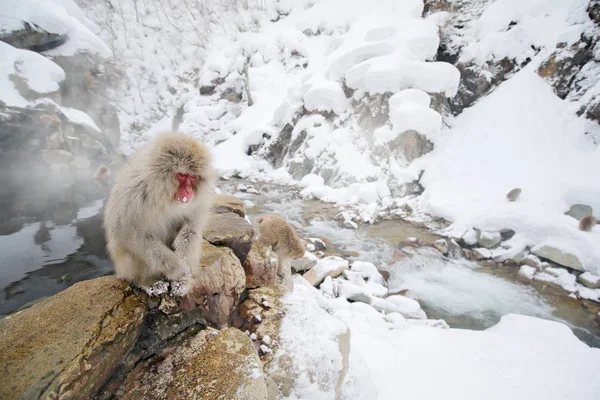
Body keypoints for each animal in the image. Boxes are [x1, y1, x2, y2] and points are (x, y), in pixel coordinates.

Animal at [103, 132, 216, 296]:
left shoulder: (198, 201)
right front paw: (178, 268)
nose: (188, 192)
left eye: (193, 177)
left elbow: (193, 225)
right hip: (125, 266)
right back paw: (149, 281)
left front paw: (182, 255)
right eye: (182, 175)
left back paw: (182, 283)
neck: (163, 196)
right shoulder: (133, 199)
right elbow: (134, 236)